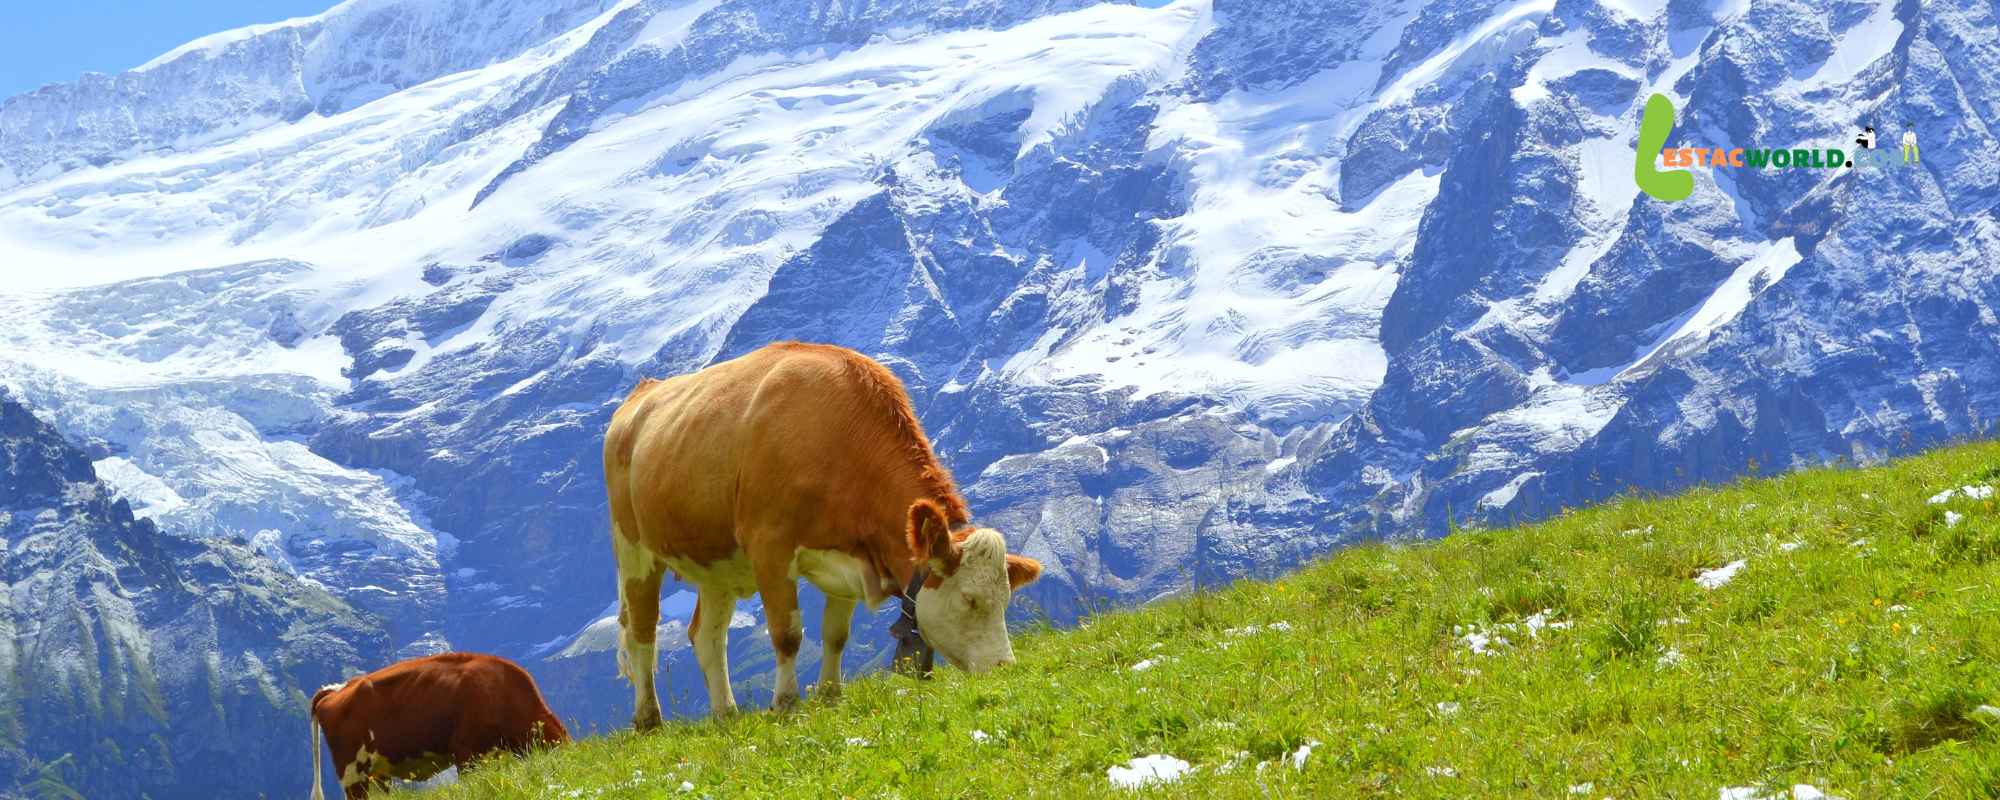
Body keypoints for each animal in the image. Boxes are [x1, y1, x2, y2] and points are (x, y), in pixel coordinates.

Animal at [603, 341, 1043, 728]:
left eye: (1006, 598)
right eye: (969, 599)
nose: (1003, 667)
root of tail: (642, 393)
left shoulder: (850, 556)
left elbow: (836, 635)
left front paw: (830, 695)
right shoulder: (770, 547)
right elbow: (787, 634)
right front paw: (786, 704)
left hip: (716, 562)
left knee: (707, 636)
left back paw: (726, 714)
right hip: (634, 550)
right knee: (642, 632)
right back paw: (649, 719)